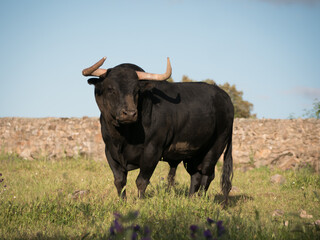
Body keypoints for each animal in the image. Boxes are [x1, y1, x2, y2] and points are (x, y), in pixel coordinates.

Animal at [84, 57, 234, 202]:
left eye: (136, 90)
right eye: (111, 88)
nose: (130, 113)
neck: (123, 137)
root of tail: (225, 97)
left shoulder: (152, 150)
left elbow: (141, 181)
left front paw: (140, 203)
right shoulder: (110, 152)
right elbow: (120, 181)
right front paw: (122, 202)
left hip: (216, 147)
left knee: (207, 174)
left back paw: (200, 200)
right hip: (193, 153)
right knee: (196, 175)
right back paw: (191, 200)